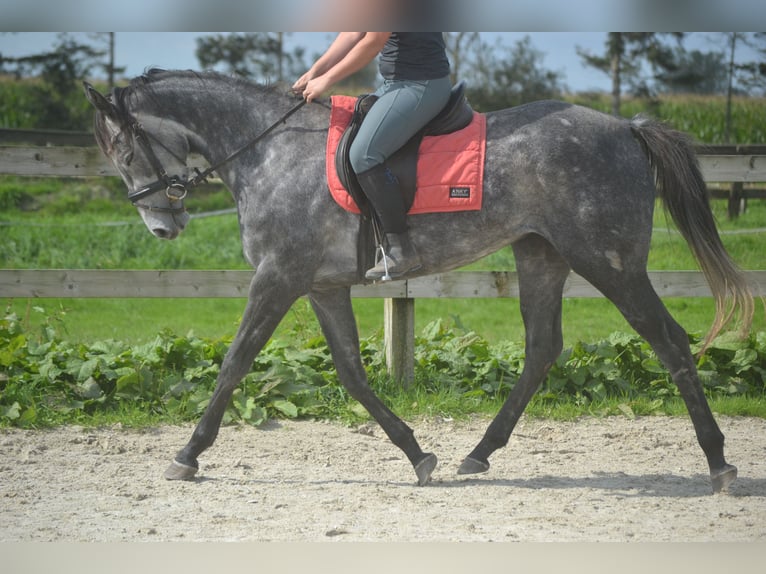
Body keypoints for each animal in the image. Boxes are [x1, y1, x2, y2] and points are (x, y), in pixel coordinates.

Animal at [84, 70, 756, 496]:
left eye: (124, 152)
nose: (162, 225)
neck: (269, 152)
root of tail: (627, 129)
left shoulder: (277, 277)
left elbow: (235, 362)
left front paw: (187, 455)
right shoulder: (322, 286)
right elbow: (352, 372)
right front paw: (418, 454)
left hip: (609, 263)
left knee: (669, 340)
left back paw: (720, 463)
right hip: (541, 255)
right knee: (543, 348)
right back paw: (478, 453)